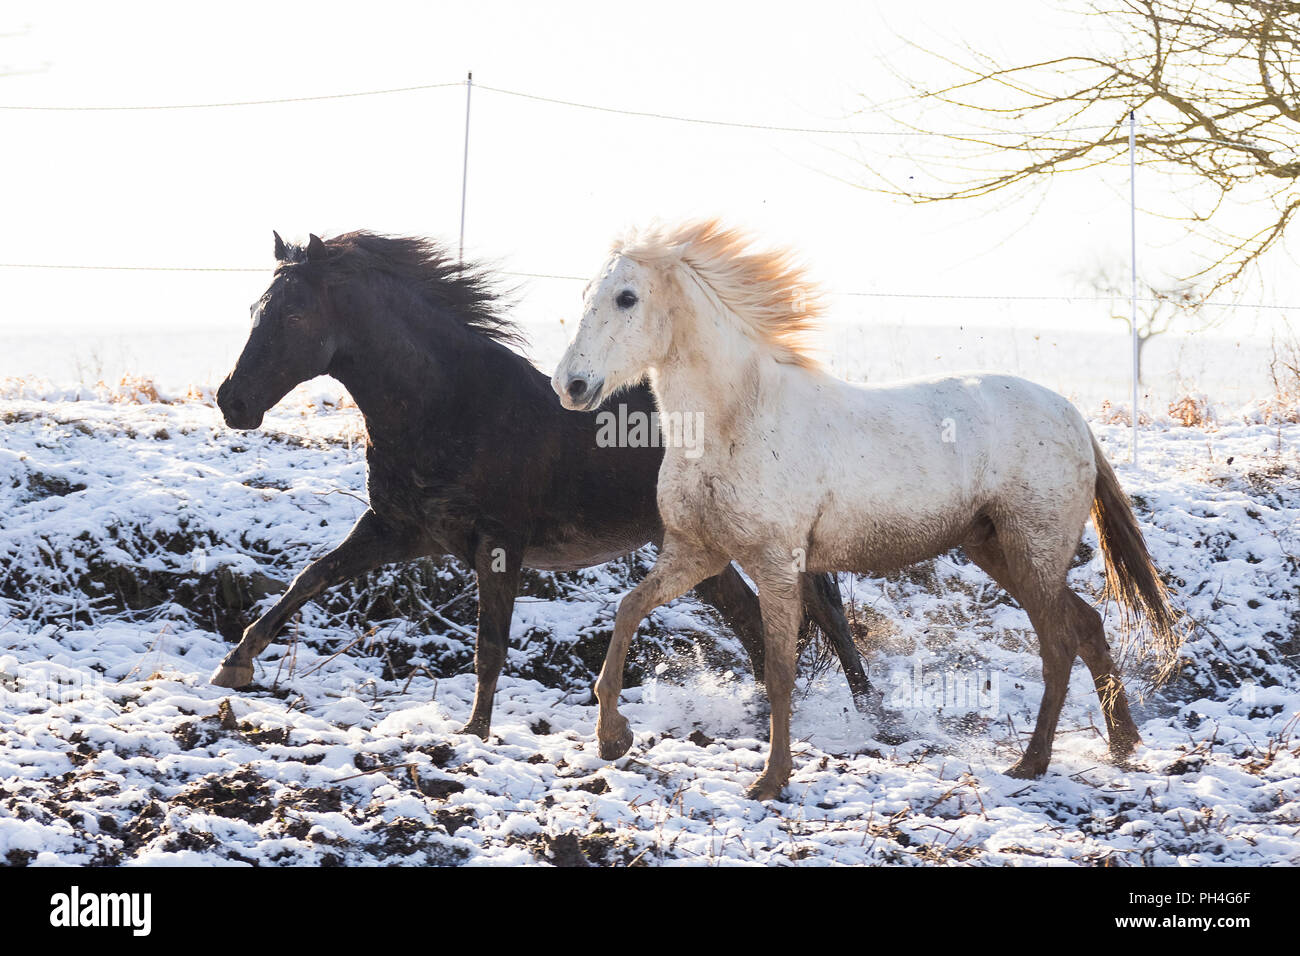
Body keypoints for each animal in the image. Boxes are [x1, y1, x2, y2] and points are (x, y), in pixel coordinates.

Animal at [208, 234, 868, 738]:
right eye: (257, 310)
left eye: (295, 315)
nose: (232, 402)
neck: (450, 406)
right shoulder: (399, 531)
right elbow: (311, 576)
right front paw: (234, 665)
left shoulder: (500, 543)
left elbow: (490, 643)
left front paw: (475, 732)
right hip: (699, 548)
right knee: (754, 621)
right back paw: (762, 713)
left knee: (826, 613)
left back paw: (869, 715)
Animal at [553, 222, 1185, 801]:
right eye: (585, 292)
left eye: (626, 297)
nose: (571, 385)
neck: (736, 421)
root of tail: (1072, 416)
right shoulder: (695, 553)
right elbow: (629, 610)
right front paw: (612, 739)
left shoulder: (777, 564)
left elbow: (780, 670)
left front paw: (771, 780)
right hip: (997, 548)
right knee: (1087, 625)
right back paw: (1121, 745)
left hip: (1032, 549)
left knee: (1059, 644)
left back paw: (1032, 764)